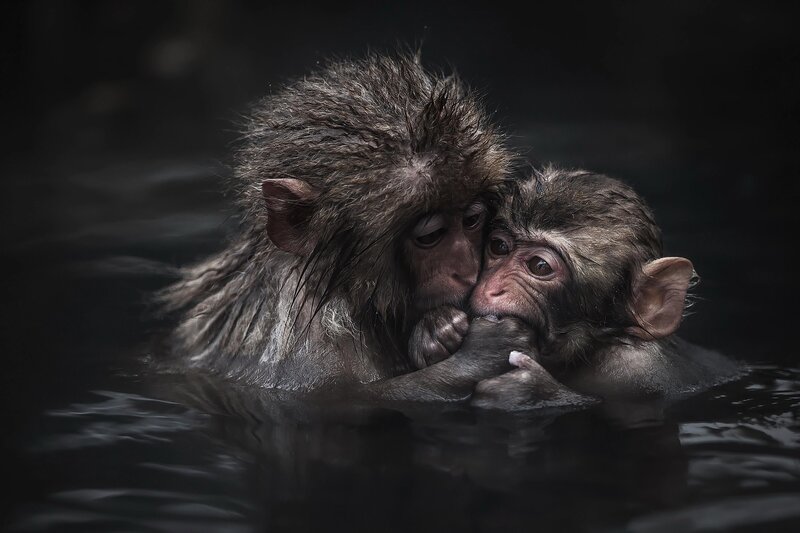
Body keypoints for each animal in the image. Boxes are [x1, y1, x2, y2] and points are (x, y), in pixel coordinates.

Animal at [155, 52, 532, 401]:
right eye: (431, 236)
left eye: (471, 220)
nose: (467, 271)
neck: (335, 287)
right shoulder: (316, 343)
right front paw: (473, 352)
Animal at [414, 166, 739, 409]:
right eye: (499, 247)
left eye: (540, 266)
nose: (492, 287)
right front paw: (438, 328)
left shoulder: (633, 369)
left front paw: (527, 390)